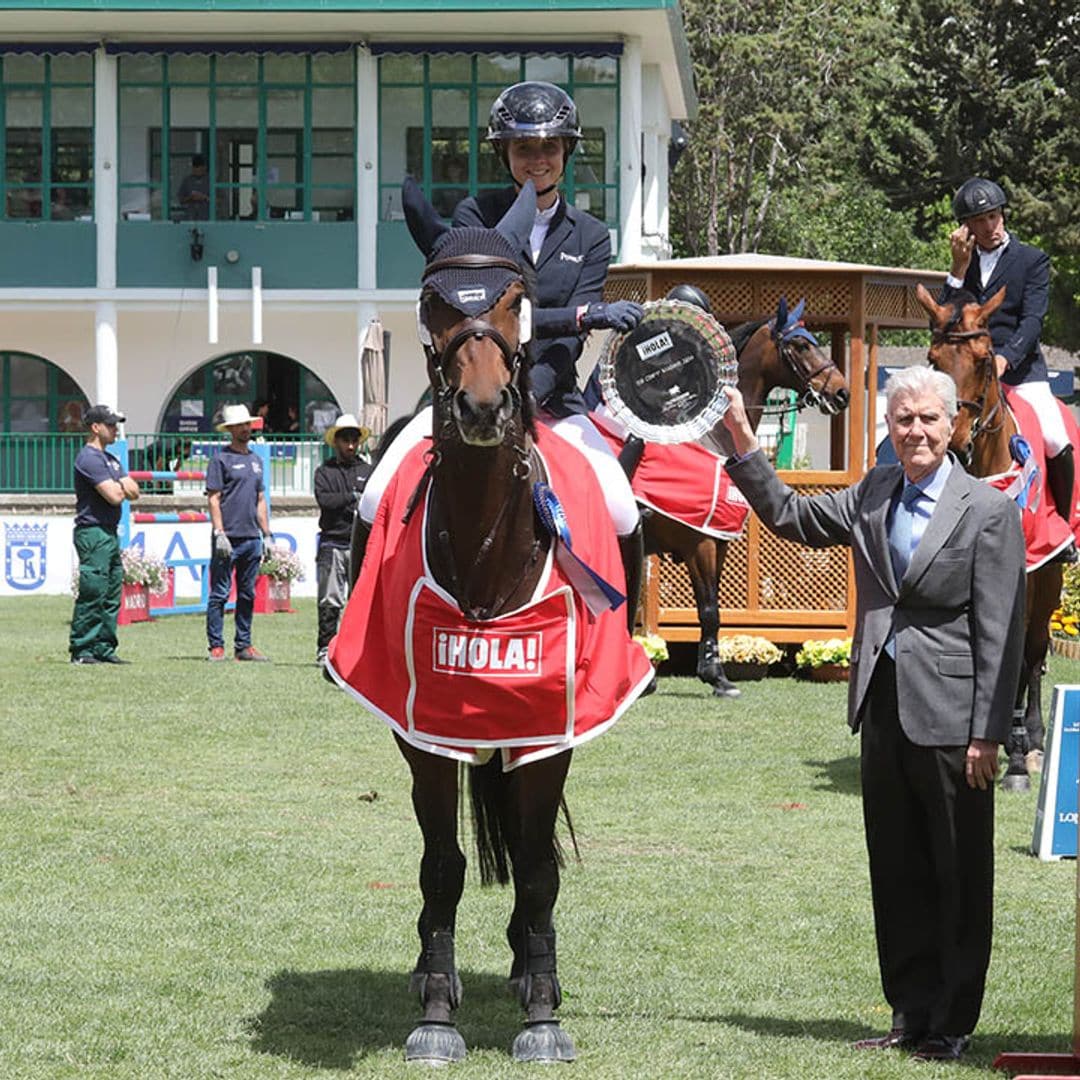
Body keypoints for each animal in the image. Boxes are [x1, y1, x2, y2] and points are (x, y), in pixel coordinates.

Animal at [332, 177, 648, 1062]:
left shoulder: (549, 727)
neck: (483, 544)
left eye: (516, 299)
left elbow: (538, 866)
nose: (479, 408)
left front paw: (542, 1011)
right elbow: (441, 863)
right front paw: (437, 1012)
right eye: (434, 301)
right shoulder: (422, 725)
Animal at [630, 300, 851, 695]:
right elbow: (708, 610)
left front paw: (714, 672)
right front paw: (715, 676)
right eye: (801, 345)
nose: (842, 393)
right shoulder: (699, 543)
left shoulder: (716, 543)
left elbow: (712, 608)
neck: (711, 443)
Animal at [915, 285, 1058, 794]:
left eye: (982, 360)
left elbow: (1014, 659)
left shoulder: (1024, 574)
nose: (954, 439)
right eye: (933, 358)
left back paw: (1032, 742)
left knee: (1033, 653)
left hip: (1050, 579)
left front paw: (1014, 758)